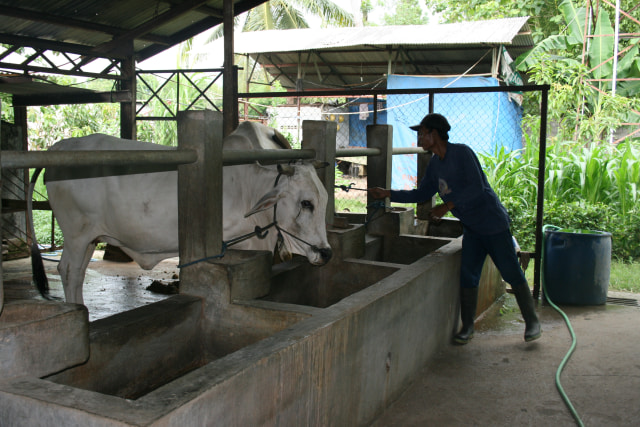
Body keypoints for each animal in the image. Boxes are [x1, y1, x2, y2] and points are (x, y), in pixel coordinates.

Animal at [27, 122, 332, 306]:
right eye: (306, 203)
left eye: (325, 199)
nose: (326, 253)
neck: (247, 186)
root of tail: (58, 147)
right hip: (76, 234)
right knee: (69, 271)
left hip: (90, 236)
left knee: (77, 272)